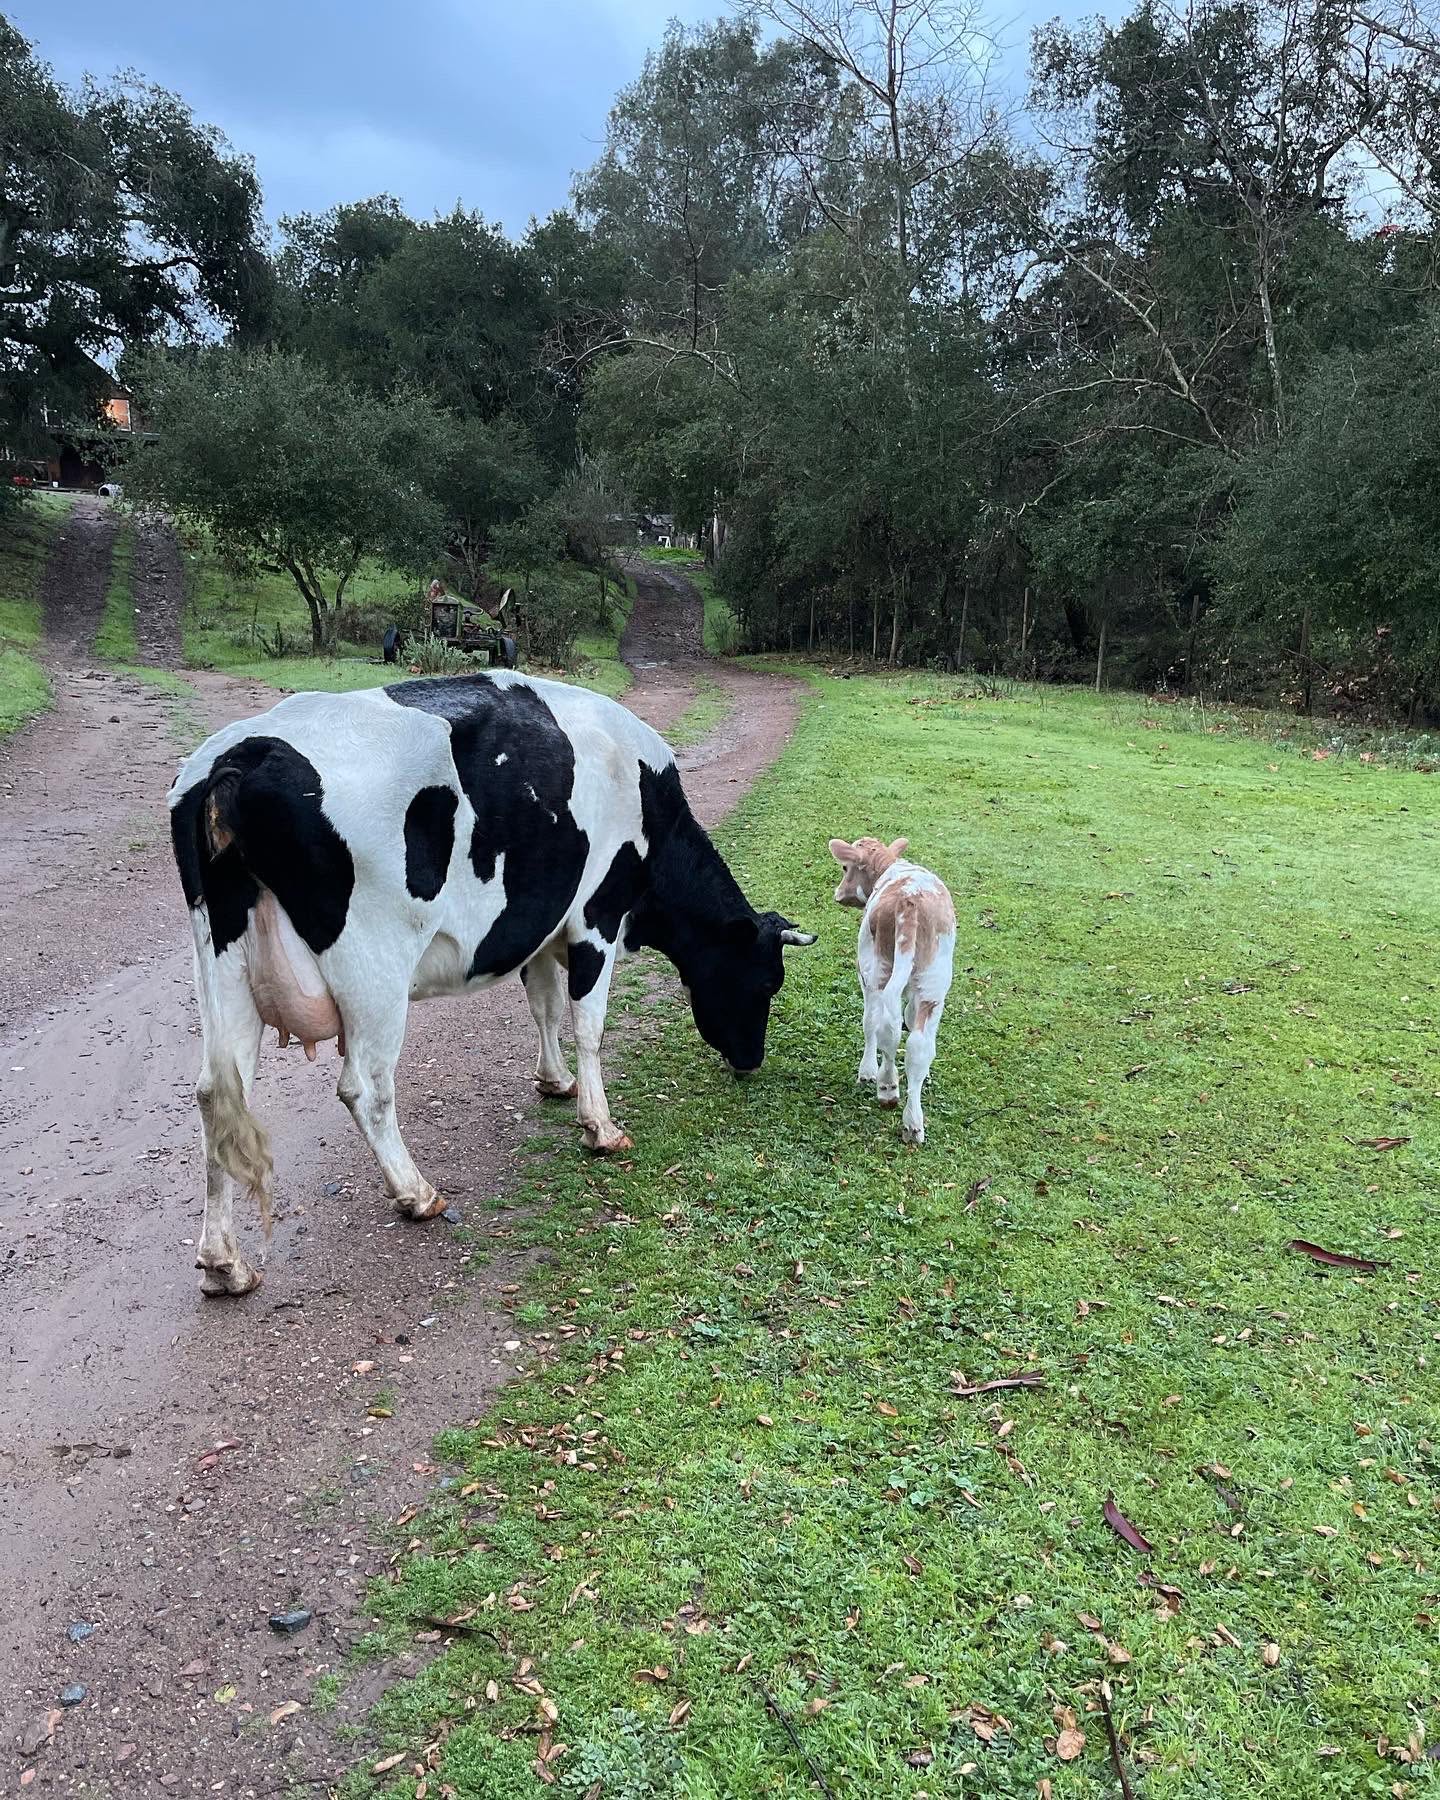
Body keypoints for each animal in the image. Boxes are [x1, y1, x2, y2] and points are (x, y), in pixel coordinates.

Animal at [169, 672, 815, 1295]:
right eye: (767, 982)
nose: (750, 1060)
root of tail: (241, 756)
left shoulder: (540, 927)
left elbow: (544, 1006)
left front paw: (555, 1082)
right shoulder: (596, 918)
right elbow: (587, 1025)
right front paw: (601, 1127)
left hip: (222, 963)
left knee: (218, 1095)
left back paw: (224, 1263)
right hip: (374, 967)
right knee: (364, 1088)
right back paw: (417, 1193)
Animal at [828, 836, 954, 1146]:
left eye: (845, 867)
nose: (839, 894)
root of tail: (910, 899)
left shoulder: (865, 975)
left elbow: (869, 1023)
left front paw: (867, 1073)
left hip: (876, 968)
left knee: (883, 1025)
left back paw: (886, 1086)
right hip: (934, 981)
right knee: (917, 1045)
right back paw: (913, 1123)